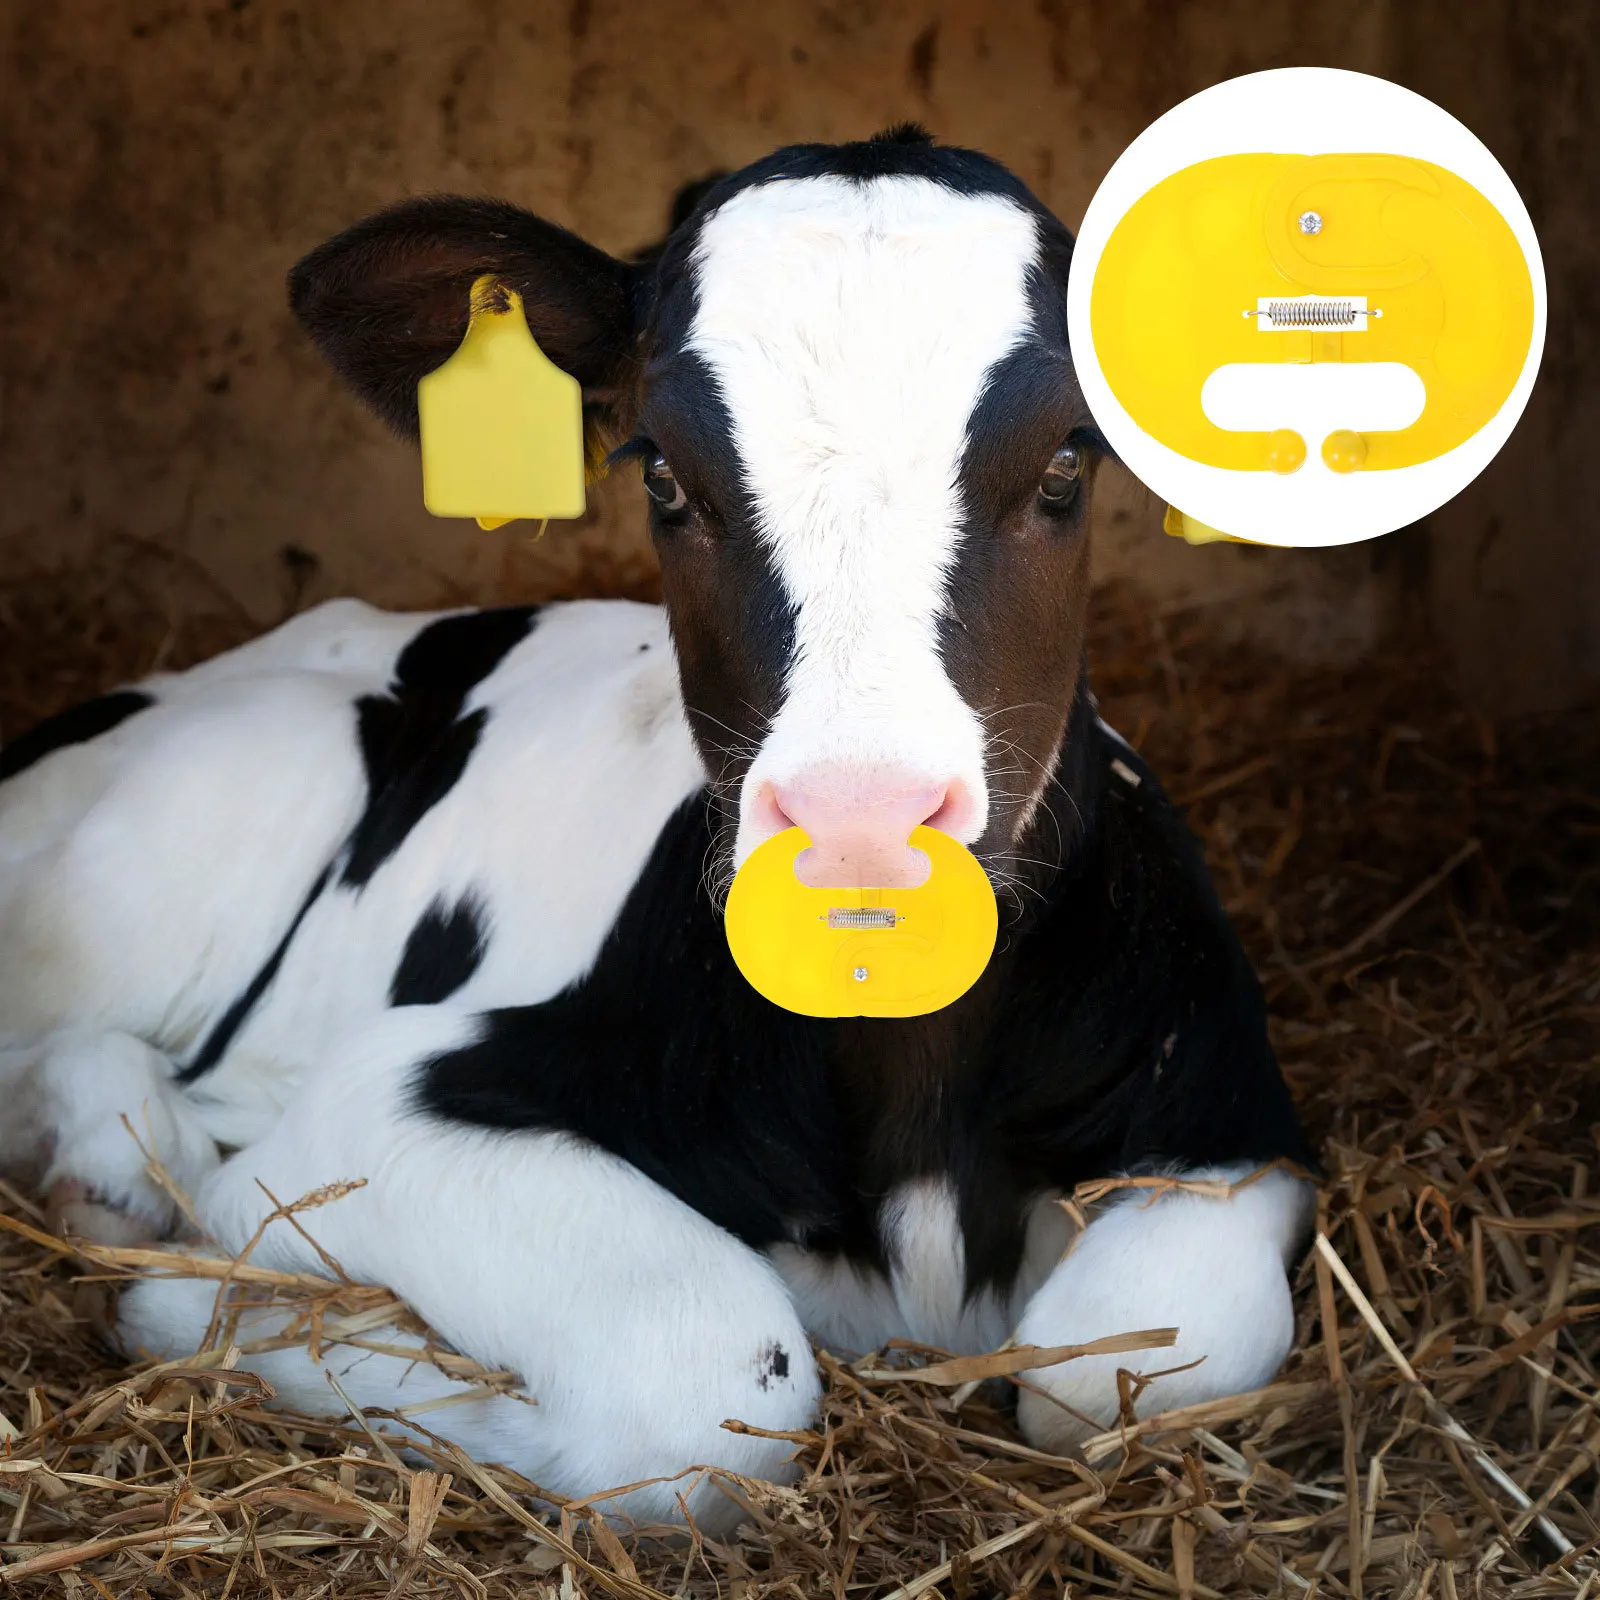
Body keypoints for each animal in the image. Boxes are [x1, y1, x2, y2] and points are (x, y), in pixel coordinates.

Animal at [0, 127, 1316, 1530]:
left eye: (1069, 458)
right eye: (666, 476)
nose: (858, 820)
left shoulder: (1233, 1127)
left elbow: (1117, 1366)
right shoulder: (381, 1103)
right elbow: (707, 1383)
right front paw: (207, 1302)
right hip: (238, 785)